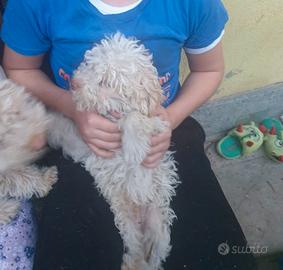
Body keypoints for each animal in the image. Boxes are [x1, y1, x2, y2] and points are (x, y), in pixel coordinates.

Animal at [0, 79, 57, 225]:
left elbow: (20, 176)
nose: (40, 142)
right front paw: (6, 210)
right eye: (1, 141)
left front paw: (43, 179)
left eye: (18, 112)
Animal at [47, 32, 179, 268]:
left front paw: (134, 148)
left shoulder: (157, 124)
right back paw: (130, 262)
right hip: (125, 221)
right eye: (89, 65)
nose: (75, 83)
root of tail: (139, 213)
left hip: (158, 222)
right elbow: (64, 127)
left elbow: (134, 117)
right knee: (135, 247)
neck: (111, 115)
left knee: (156, 252)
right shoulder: (83, 144)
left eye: (105, 82)